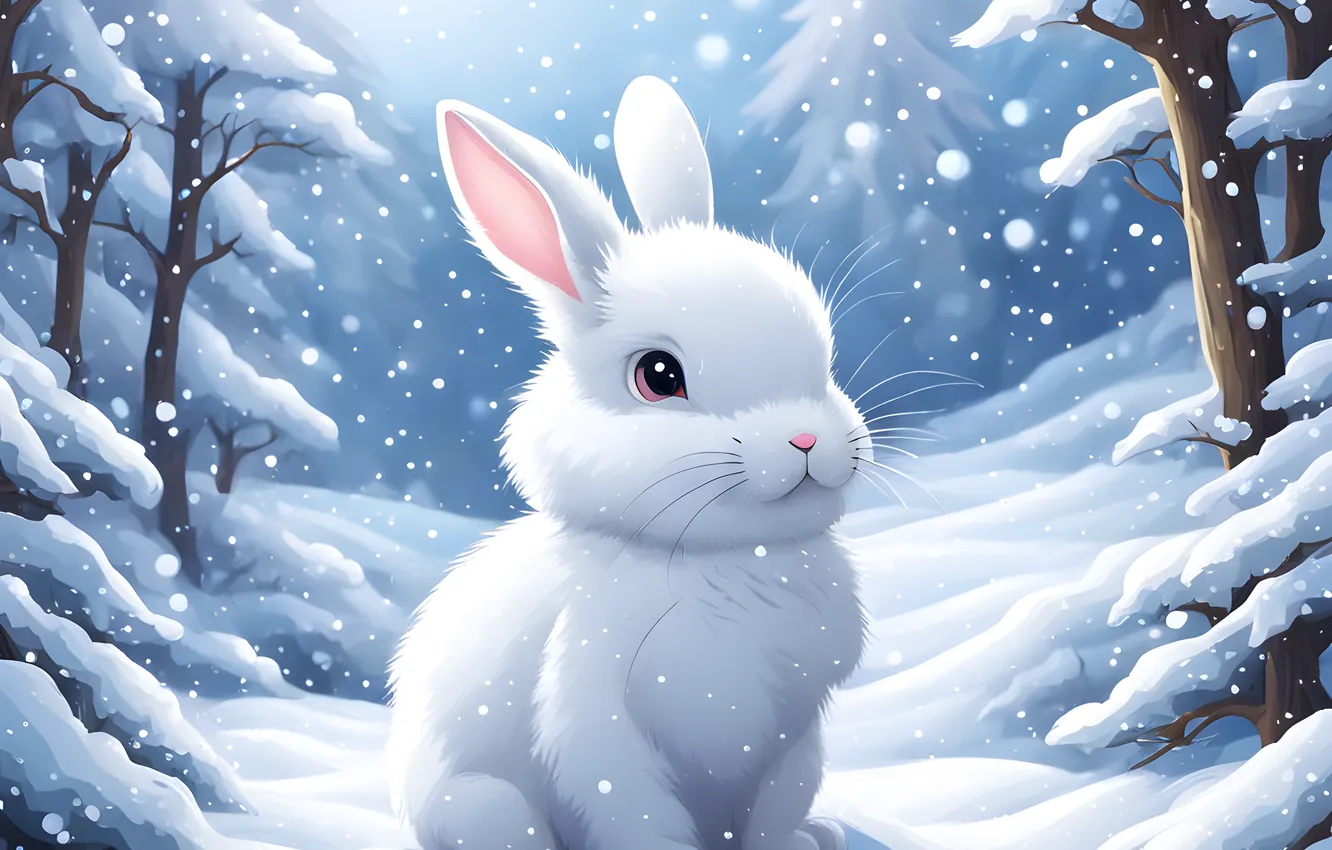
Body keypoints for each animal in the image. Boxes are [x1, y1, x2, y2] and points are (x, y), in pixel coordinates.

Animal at [388, 75, 870, 850]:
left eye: (824, 361)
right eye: (658, 376)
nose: (805, 440)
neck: (730, 560)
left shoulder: (792, 742)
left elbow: (771, 812)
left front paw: (791, 842)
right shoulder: (592, 720)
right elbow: (634, 812)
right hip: (482, 806)